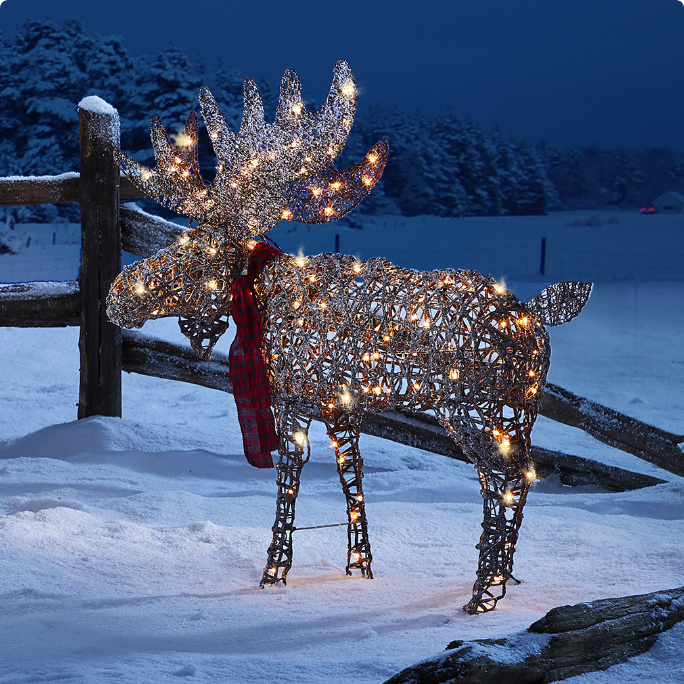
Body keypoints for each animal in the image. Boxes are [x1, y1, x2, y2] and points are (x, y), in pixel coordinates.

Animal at [107, 61, 592, 614]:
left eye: (193, 251)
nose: (118, 294)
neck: (268, 299)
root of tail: (536, 315)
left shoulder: (294, 394)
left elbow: (290, 473)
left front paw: (273, 573)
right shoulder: (341, 402)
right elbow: (350, 473)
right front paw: (360, 567)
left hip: (479, 412)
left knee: (505, 481)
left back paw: (482, 593)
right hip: (518, 411)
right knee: (514, 479)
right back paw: (499, 581)